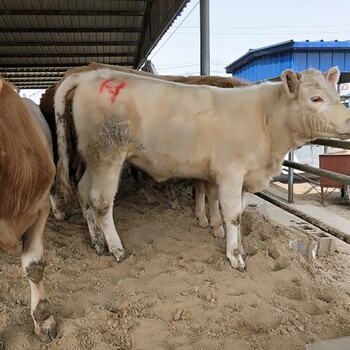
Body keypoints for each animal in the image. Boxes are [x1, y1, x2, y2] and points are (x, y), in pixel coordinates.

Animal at [54, 67, 350, 272]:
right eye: (316, 98)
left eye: (337, 95)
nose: (348, 120)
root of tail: (93, 75)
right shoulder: (231, 173)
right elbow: (232, 216)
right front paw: (235, 257)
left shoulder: (245, 177)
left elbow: (241, 213)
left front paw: (241, 248)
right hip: (108, 155)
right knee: (101, 201)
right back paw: (116, 249)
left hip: (94, 158)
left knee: (83, 192)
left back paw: (98, 243)